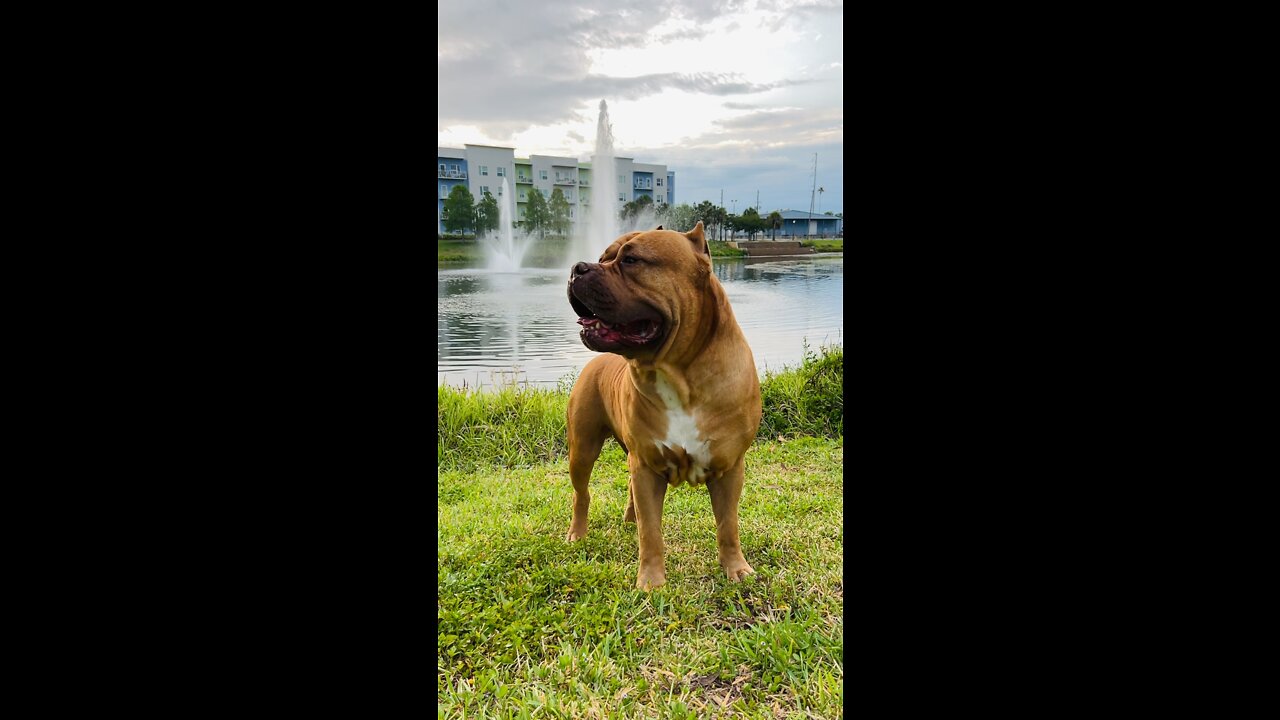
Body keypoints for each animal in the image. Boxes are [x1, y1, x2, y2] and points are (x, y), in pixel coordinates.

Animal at [563, 220, 757, 589]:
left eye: (631, 260)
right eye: (602, 258)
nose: (577, 267)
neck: (678, 377)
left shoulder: (729, 468)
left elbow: (728, 525)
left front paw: (735, 568)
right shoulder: (648, 466)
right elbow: (651, 531)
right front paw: (651, 582)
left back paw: (628, 517)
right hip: (583, 449)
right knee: (583, 495)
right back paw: (578, 533)